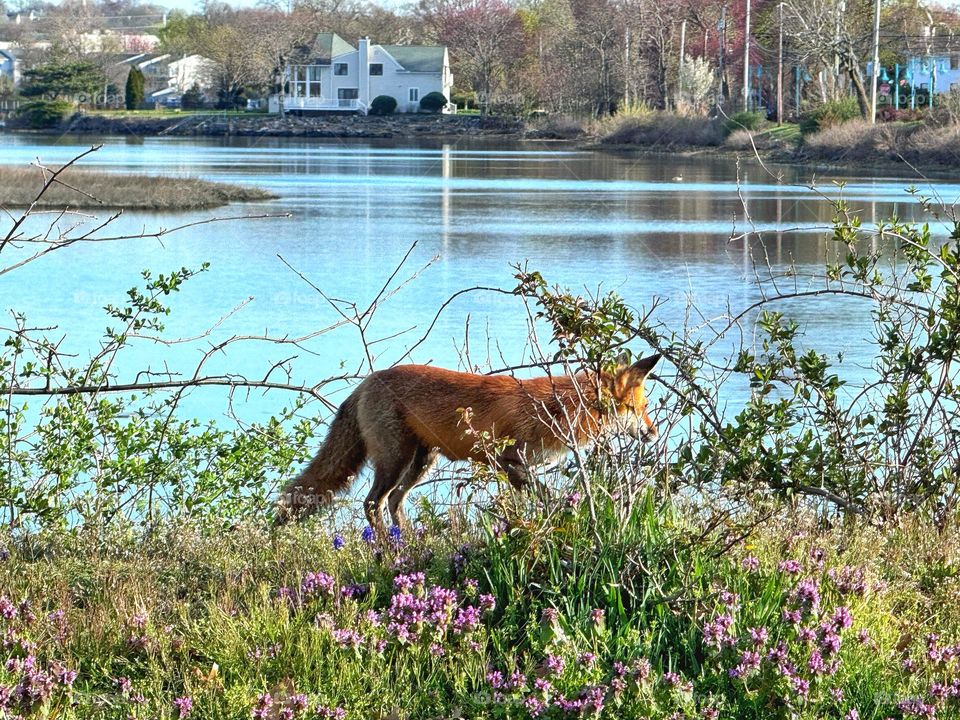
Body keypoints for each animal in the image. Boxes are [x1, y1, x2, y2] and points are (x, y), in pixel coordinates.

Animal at [274, 354, 656, 536]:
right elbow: (547, 499)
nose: (652, 434)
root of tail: (367, 381)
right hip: (396, 459)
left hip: (421, 462)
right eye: (639, 409)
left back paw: (408, 541)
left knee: (395, 502)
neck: (558, 408)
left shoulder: (517, 469)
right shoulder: (509, 461)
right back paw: (386, 546)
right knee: (373, 503)